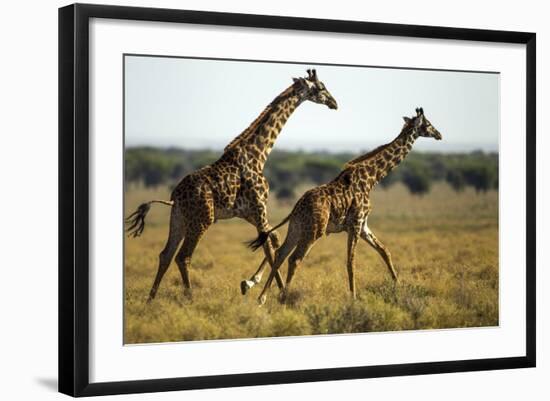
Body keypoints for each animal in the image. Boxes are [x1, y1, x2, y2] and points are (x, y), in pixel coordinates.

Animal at [126, 69, 338, 300]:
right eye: (321, 87)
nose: (334, 103)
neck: (258, 155)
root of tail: (175, 197)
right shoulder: (259, 207)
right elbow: (270, 244)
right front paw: (268, 290)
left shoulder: (247, 213)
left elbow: (272, 239)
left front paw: (253, 284)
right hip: (202, 220)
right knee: (183, 256)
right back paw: (189, 298)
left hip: (179, 218)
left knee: (165, 254)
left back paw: (151, 299)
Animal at [249, 107, 444, 304]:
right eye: (428, 124)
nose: (439, 135)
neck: (373, 178)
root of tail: (296, 207)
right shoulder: (355, 224)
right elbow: (351, 261)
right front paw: (354, 298)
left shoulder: (363, 225)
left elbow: (384, 251)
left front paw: (397, 285)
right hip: (314, 230)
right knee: (295, 259)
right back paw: (284, 297)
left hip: (297, 228)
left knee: (281, 253)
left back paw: (262, 297)